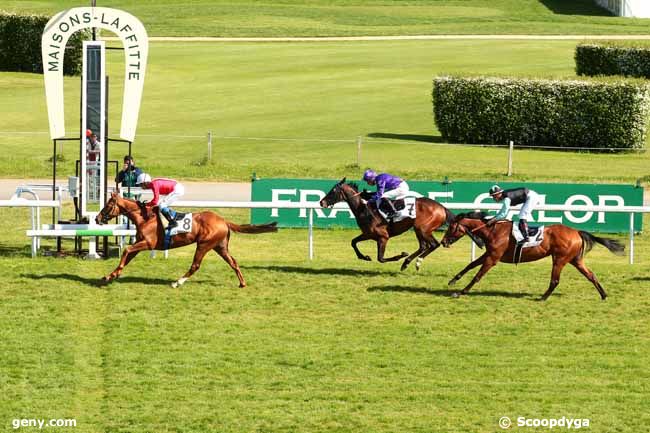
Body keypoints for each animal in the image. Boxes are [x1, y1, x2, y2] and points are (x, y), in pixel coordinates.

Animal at [96, 192, 276, 286]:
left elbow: (126, 250)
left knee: (195, 265)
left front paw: (116, 273)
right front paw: (111, 275)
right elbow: (127, 256)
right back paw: (242, 283)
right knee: (233, 262)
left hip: (204, 244)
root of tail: (223, 220)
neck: (145, 217)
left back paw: (178, 282)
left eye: (108, 205)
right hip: (220, 246)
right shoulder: (140, 243)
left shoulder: (148, 243)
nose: (97, 218)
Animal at [318, 177, 450, 268]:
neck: (364, 209)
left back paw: (415, 262)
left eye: (333, 191)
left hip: (423, 229)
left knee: (434, 244)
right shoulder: (368, 234)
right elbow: (353, 242)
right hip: (418, 229)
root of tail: (442, 208)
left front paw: (400, 255)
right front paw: (364, 257)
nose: (321, 202)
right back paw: (406, 263)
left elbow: (380, 258)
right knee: (423, 246)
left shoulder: (383, 237)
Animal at [440, 212, 624, 300]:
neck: (493, 230)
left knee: (555, 280)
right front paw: (453, 281)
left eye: (451, 227)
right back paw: (603, 295)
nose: (443, 242)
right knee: (590, 275)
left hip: (560, 259)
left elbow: (477, 276)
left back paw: (542, 298)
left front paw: (461, 292)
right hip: (575, 260)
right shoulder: (489, 253)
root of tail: (577, 232)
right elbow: (470, 265)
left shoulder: (493, 258)